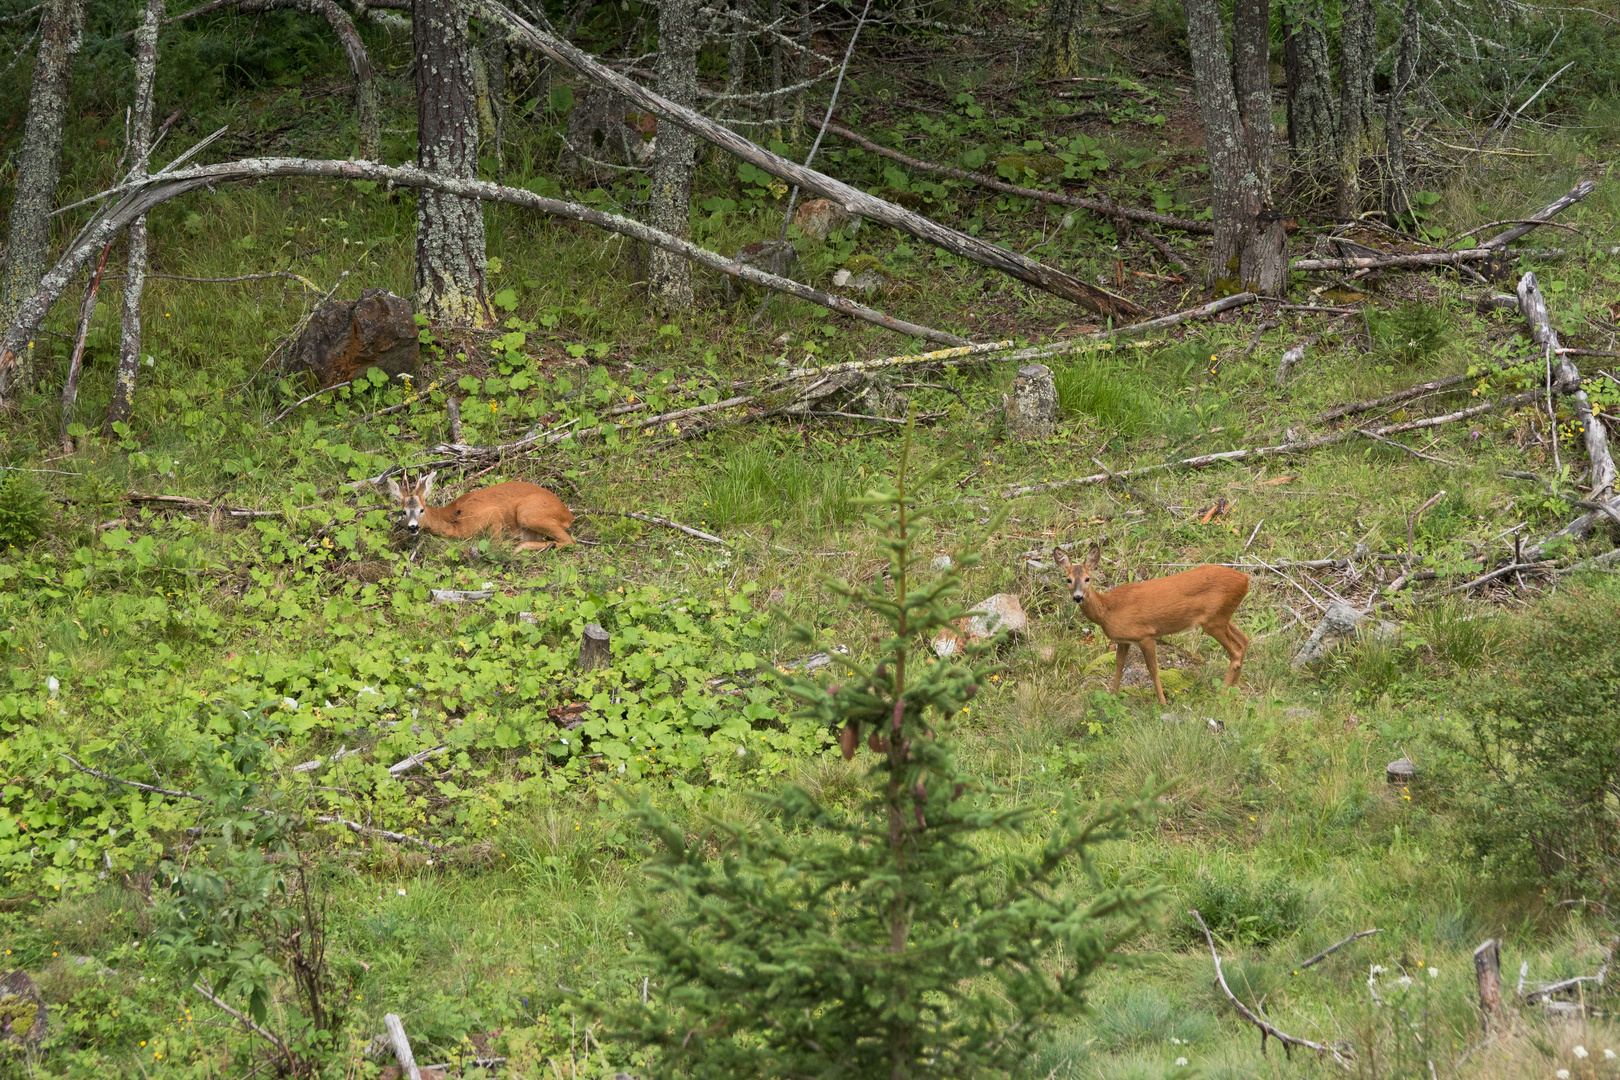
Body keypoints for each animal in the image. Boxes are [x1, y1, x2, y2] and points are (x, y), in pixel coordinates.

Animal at [385, 469, 576, 553]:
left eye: (422, 510)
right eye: (403, 512)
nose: (413, 527)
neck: (452, 521)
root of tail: (569, 515)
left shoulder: (492, 514)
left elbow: (496, 545)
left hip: (527, 513)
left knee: (569, 540)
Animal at [1049, 544, 1250, 705]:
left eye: (1087, 579)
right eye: (1068, 579)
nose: (1078, 597)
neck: (1108, 610)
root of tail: (1245, 579)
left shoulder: (1145, 635)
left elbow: (1153, 669)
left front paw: (1162, 702)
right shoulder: (1124, 639)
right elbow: (1119, 666)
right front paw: (1112, 697)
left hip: (1213, 621)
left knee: (1236, 651)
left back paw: (1221, 697)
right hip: (1222, 617)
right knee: (1244, 640)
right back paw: (1234, 691)